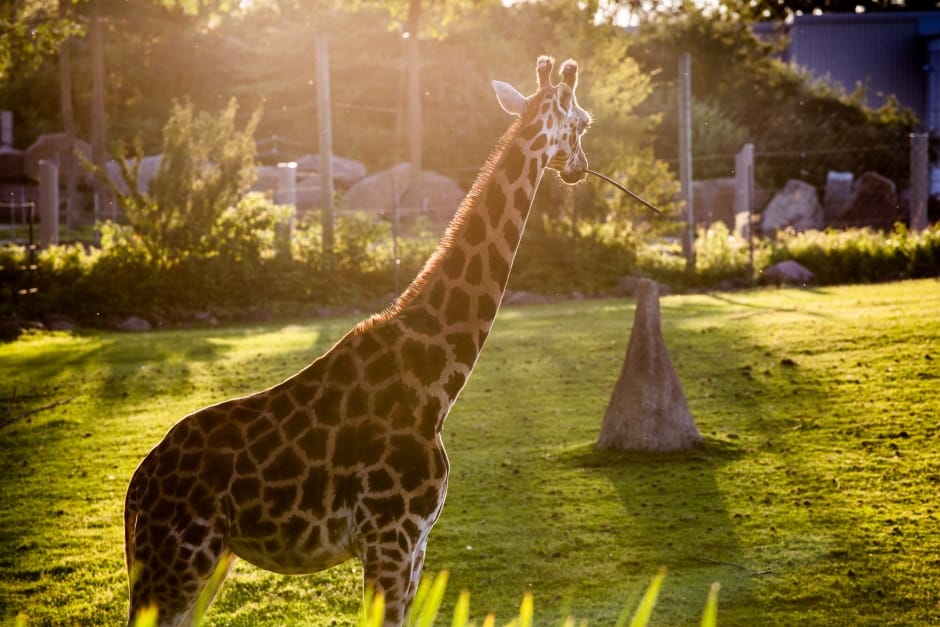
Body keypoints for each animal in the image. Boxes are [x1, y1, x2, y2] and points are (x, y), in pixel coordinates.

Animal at [124, 54, 593, 627]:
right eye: (584, 123)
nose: (580, 167)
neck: (438, 378)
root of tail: (136, 488)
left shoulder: (416, 545)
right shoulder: (390, 535)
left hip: (204, 565)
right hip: (175, 564)